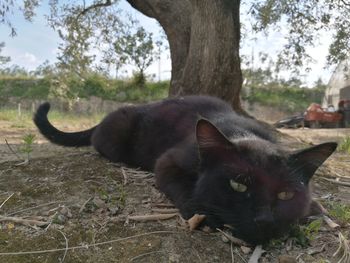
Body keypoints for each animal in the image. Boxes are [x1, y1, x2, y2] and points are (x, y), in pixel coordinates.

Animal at [34, 96, 338, 244]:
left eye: (286, 194)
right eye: (238, 185)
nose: (264, 219)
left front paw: (315, 209)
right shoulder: (168, 161)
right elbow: (182, 186)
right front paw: (201, 212)